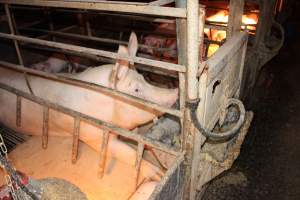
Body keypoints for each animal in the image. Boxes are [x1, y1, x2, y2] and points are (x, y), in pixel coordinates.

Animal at [0, 32, 178, 184]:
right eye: (136, 89)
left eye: (143, 77)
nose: (176, 94)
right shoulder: (91, 133)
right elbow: (126, 151)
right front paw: (159, 175)